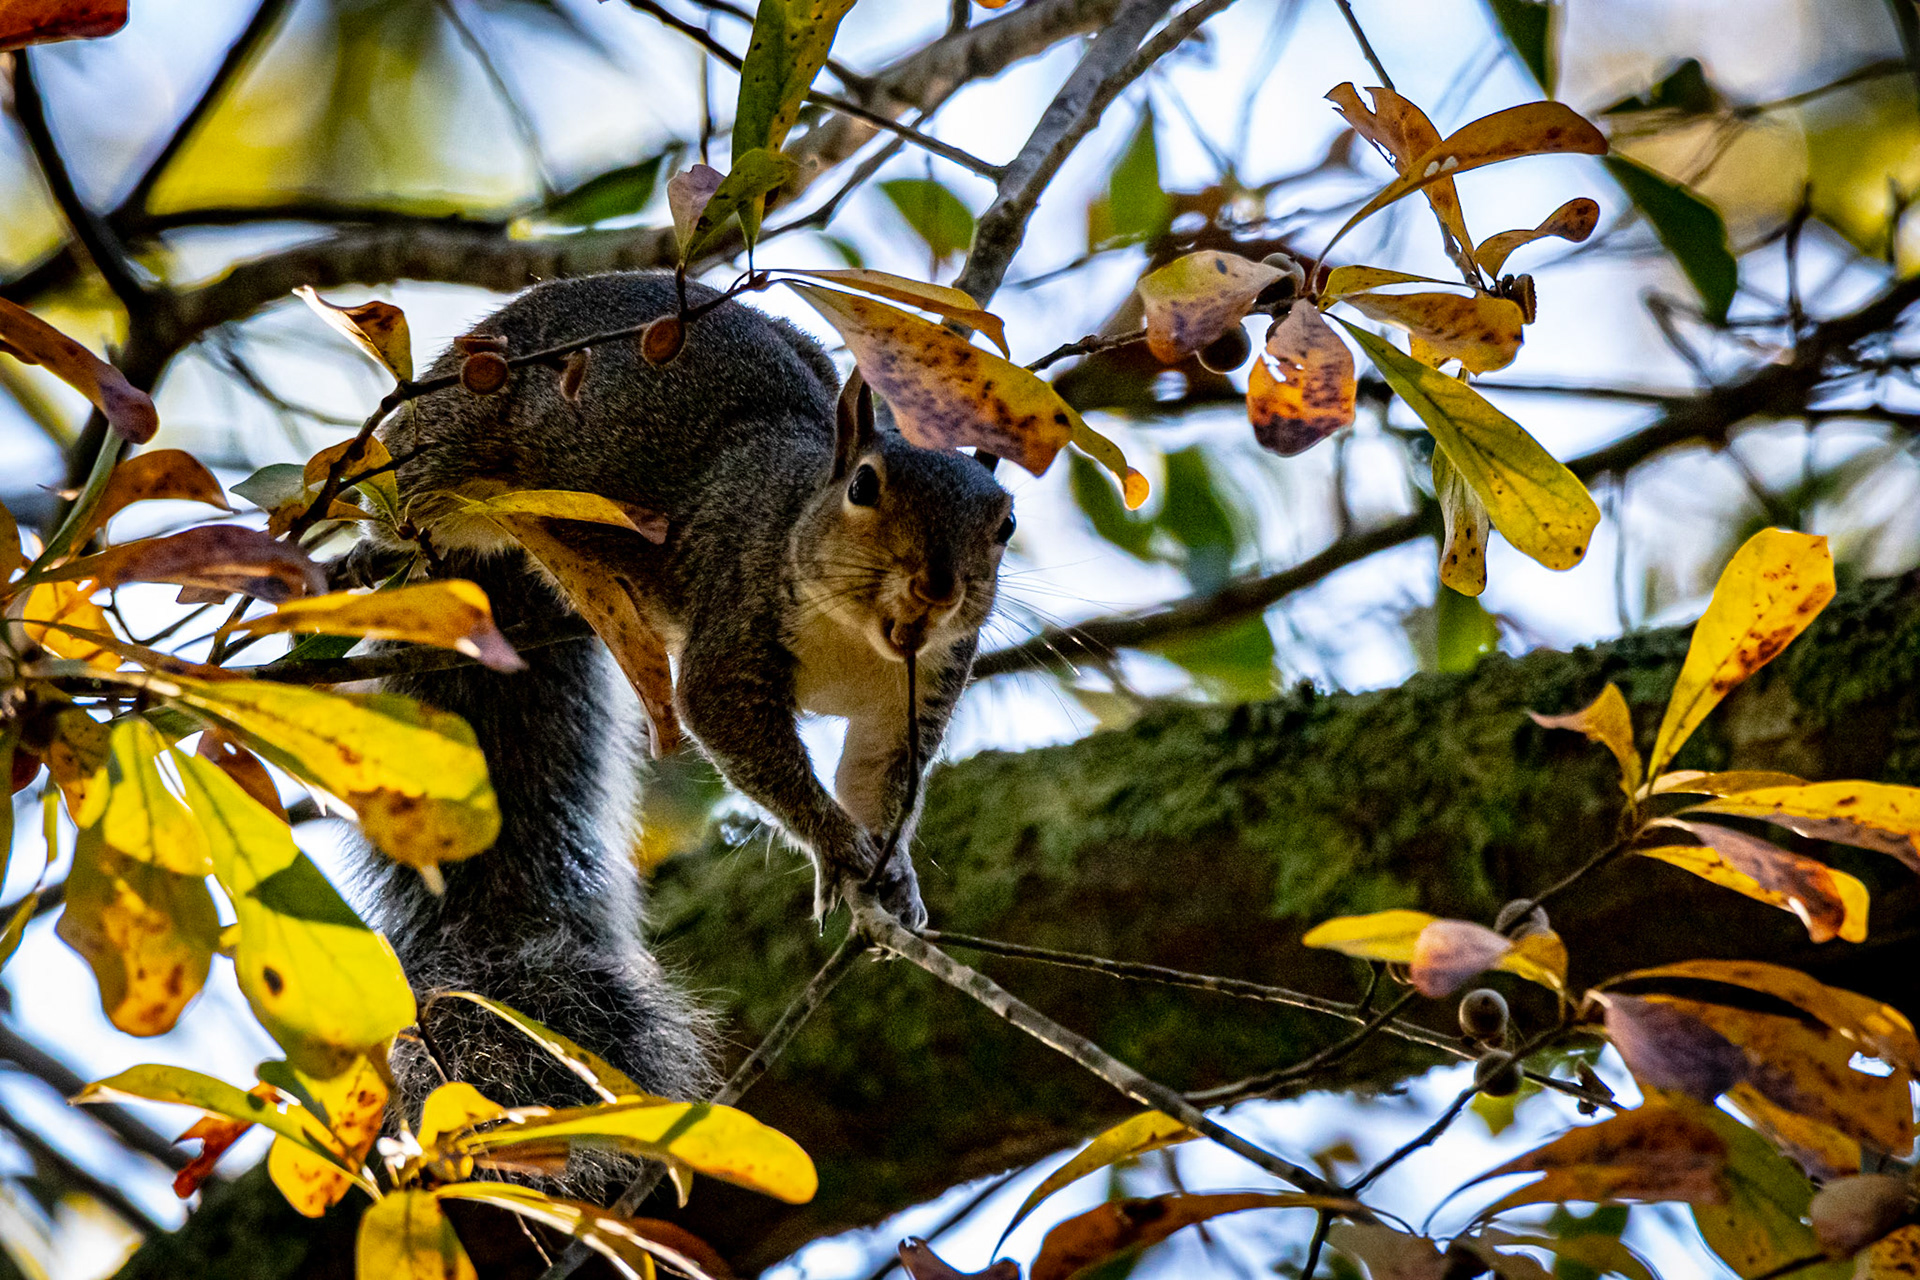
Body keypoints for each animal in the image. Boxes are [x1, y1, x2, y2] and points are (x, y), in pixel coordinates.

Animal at [346, 272, 1014, 1139]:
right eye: (864, 486)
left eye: (1006, 523)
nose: (937, 589)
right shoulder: (735, 614)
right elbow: (741, 735)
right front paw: (836, 846)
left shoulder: (915, 697)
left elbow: (881, 780)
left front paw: (891, 872)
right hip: (447, 440)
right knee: (411, 495)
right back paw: (377, 547)